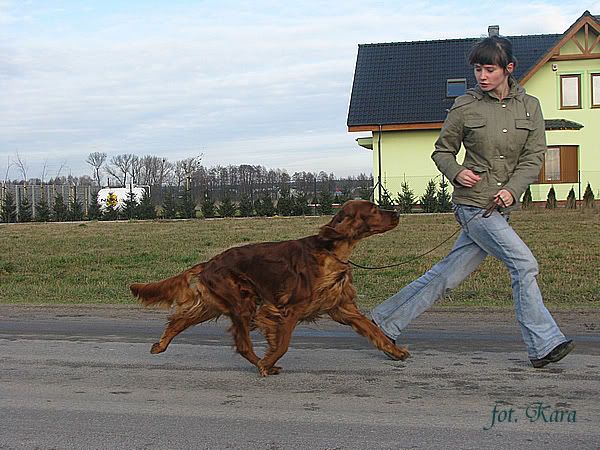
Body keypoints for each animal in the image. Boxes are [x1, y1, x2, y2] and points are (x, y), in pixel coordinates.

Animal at [130, 200, 409, 376]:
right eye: (373, 209)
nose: (397, 213)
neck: (331, 251)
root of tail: (208, 263)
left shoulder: (344, 308)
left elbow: (375, 332)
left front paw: (396, 352)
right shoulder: (287, 310)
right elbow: (283, 344)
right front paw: (268, 362)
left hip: (216, 304)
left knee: (178, 321)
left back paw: (160, 346)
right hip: (242, 305)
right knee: (242, 346)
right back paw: (261, 365)